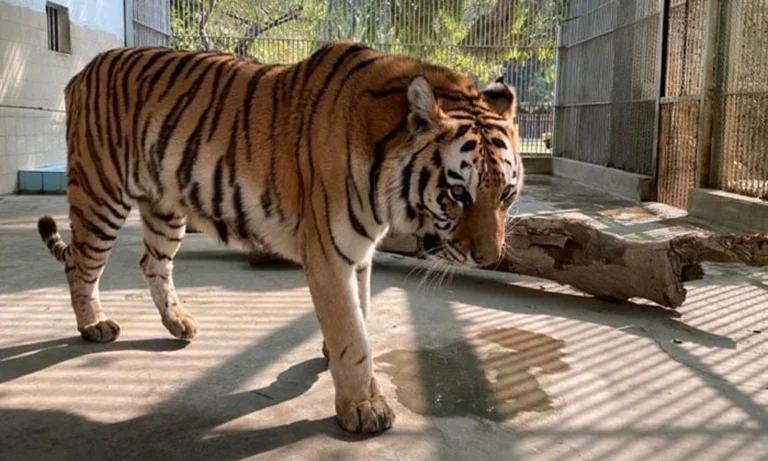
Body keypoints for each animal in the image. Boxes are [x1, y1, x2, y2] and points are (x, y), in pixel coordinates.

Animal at [36, 41, 523, 434]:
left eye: (507, 194)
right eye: (458, 193)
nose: (488, 258)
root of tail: (83, 71)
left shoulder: (360, 253)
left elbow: (361, 314)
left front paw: (338, 363)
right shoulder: (329, 253)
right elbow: (353, 334)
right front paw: (364, 407)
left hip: (164, 208)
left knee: (150, 263)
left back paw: (178, 322)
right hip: (100, 194)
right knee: (80, 263)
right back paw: (94, 324)